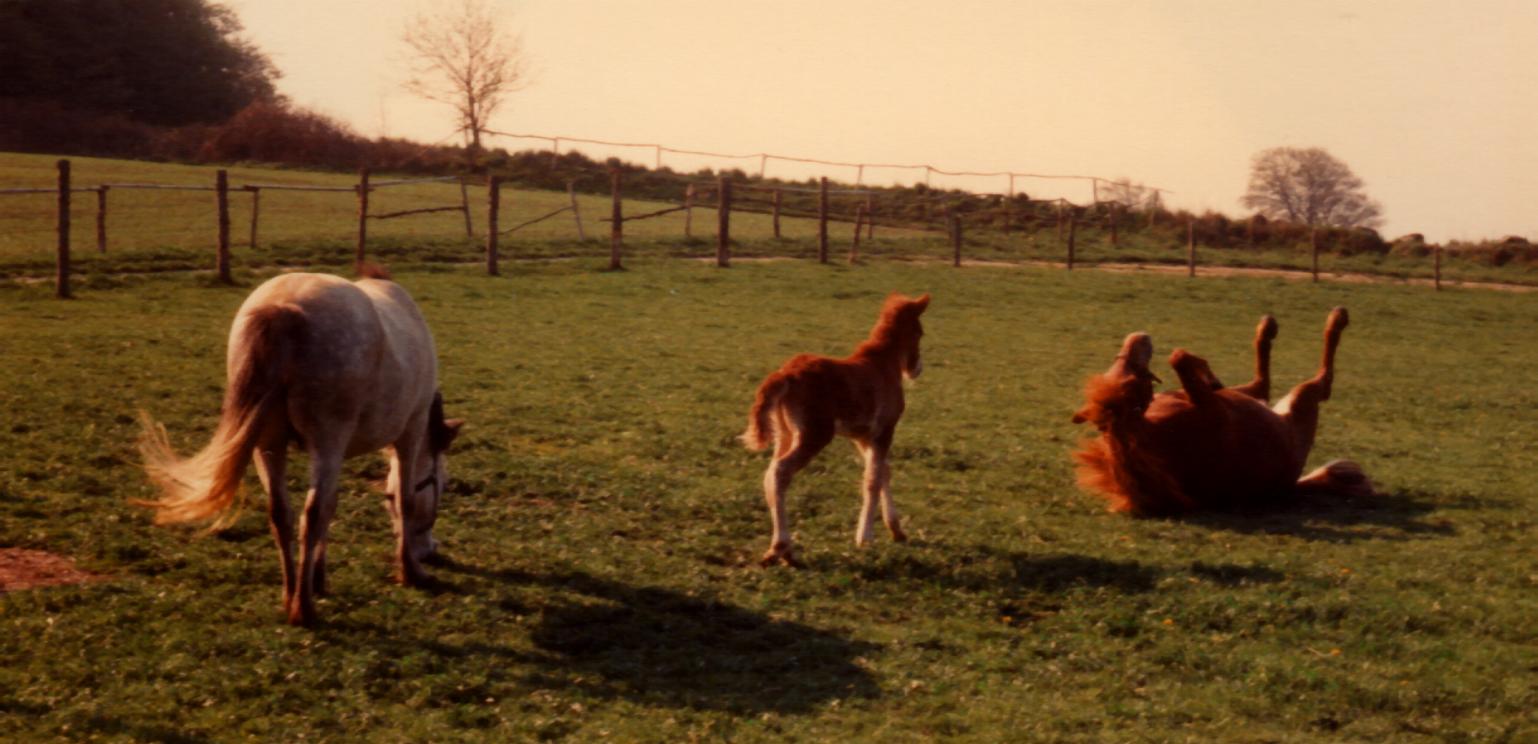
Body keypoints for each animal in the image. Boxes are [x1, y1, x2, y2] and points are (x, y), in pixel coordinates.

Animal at [138, 264, 458, 624]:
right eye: (442, 485)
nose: (430, 551)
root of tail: (283, 307)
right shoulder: (409, 432)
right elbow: (402, 499)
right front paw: (410, 570)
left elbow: (331, 505)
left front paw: (318, 576)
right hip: (326, 439)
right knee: (310, 512)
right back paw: (302, 606)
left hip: (269, 444)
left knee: (281, 512)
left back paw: (290, 592)